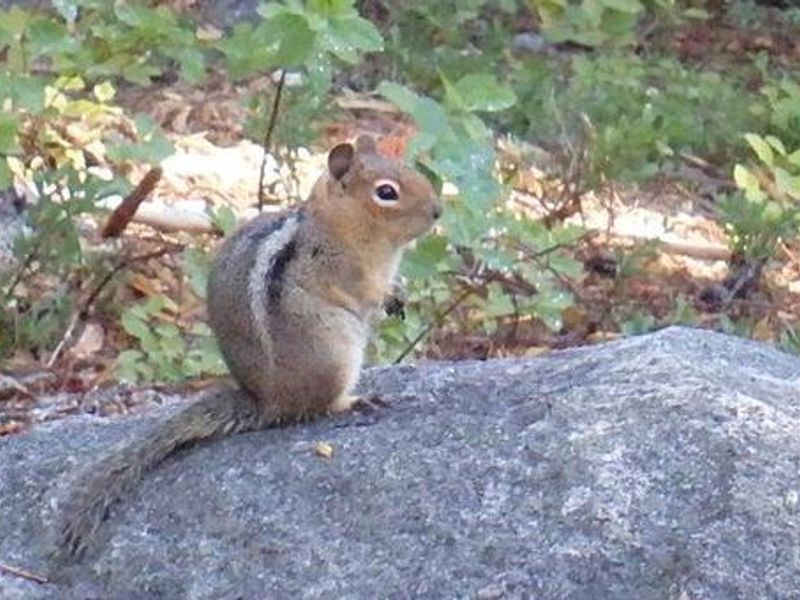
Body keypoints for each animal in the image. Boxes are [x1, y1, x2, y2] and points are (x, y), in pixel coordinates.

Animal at [47, 135, 442, 564]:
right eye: (386, 192)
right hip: (337, 353)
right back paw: (354, 400)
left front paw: (399, 292)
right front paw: (386, 297)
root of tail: (267, 402)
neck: (340, 223)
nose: (438, 211)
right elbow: (363, 291)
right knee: (318, 406)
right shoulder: (342, 269)